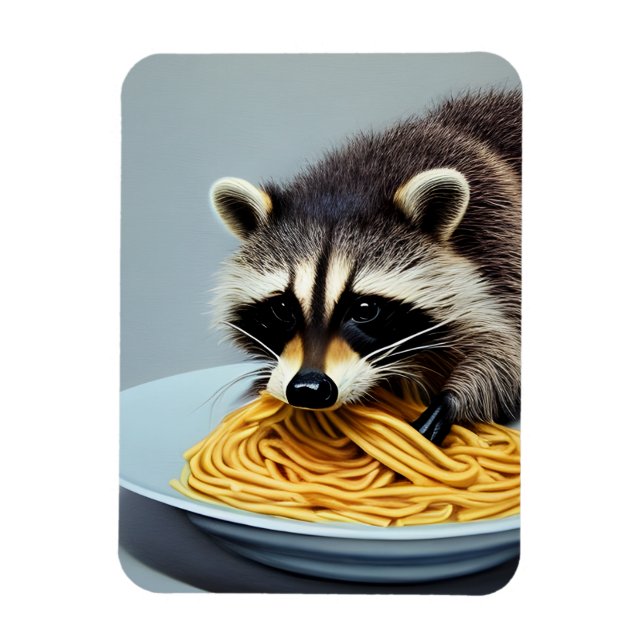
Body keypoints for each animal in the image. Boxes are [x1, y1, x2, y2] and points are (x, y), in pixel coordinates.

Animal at [210, 90, 521, 445]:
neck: (352, 186)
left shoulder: (500, 245)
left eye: (365, 309)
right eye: (282, 309)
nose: (308, 389)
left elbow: (503, 354)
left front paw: (450, 402)